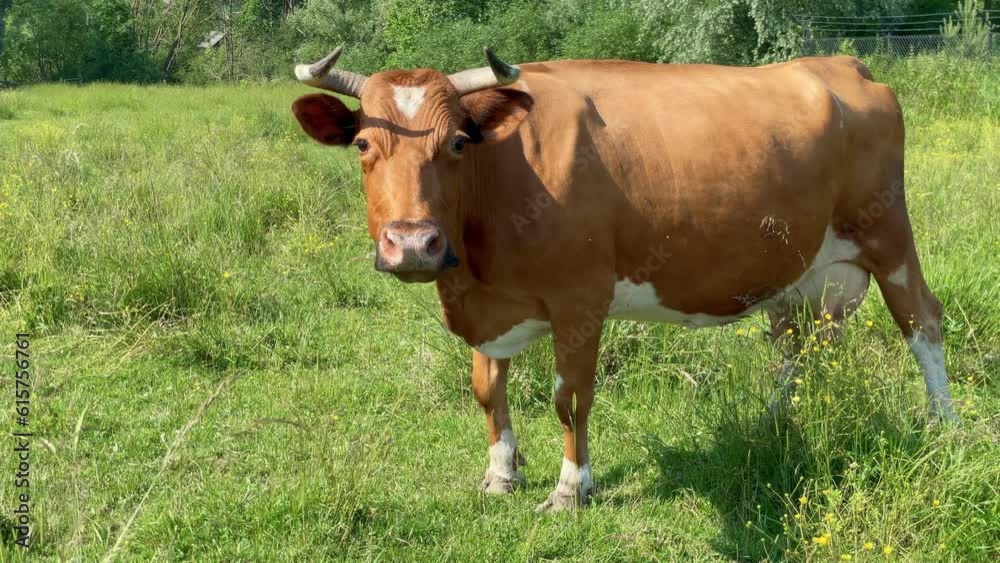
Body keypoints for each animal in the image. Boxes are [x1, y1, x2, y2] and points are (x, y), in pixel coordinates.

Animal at [290, 47, 957, 512]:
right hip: (800, 273)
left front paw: (570, 488)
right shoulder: (486, 304)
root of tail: (842, 64)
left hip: (889, 235)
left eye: (456, 142)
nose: (413, 245)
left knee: (923, 323)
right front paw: (501, 473)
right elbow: (486, 388)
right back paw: (776, 422)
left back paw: (944, 424)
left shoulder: (581, 298)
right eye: (361, 144)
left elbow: (569, 399)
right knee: (795, 347)